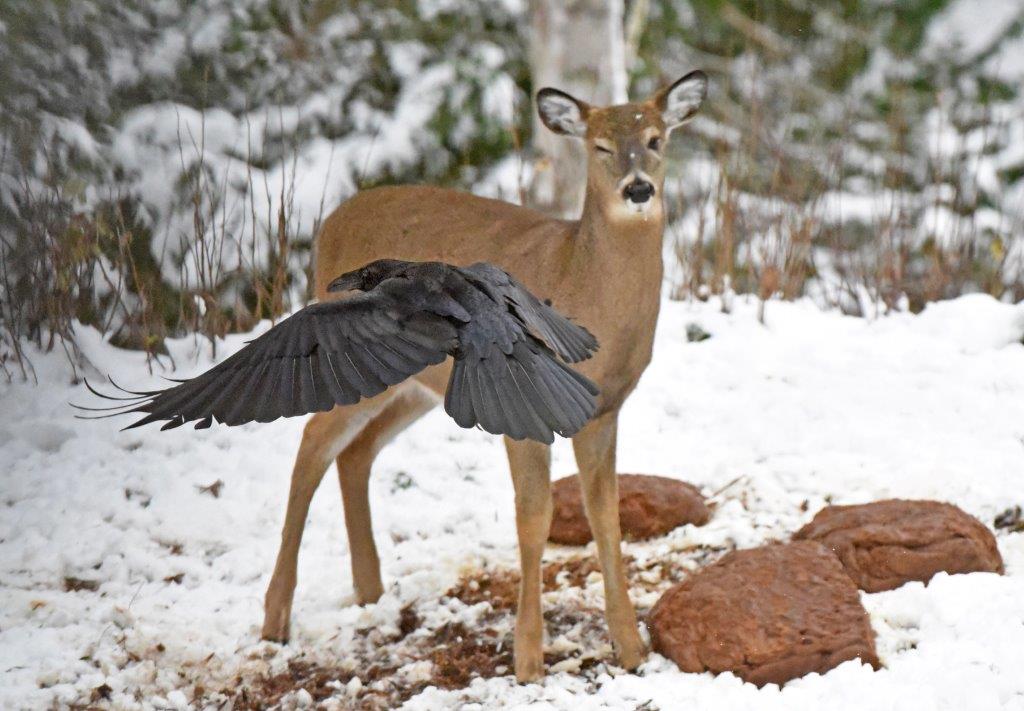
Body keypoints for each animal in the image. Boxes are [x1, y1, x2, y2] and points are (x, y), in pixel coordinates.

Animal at [259, 70, 708, 681]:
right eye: (600, 147)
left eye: (657, 139)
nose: (638, 189)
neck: (583, 286)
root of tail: (328, 222)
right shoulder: (528, 413)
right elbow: (534, 517)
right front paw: (528, 660)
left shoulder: (605, 410)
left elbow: (607, 517)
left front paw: (631, 648)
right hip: (353, 360)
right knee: (311, 449)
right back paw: (276, 620)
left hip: (416, 384)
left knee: (355, 454)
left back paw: (371, 590)